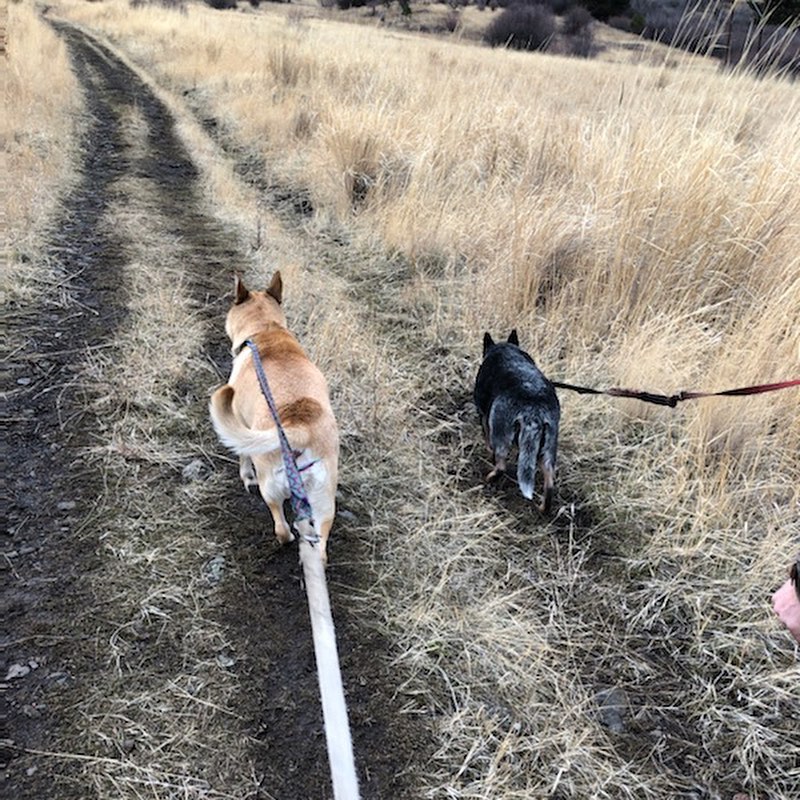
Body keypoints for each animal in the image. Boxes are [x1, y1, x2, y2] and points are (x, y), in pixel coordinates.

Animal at [208, 272, 340, 564]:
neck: (265, 329)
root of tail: (298, 427)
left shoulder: (241, 423)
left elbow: (242, 455)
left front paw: (246, 476)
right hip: (325, 500)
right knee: (321, 542)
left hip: (270, 484)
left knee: (280, 525)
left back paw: (287, 537)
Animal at [476, 332, 564, 512]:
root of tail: (535, 408)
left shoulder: (485, 415)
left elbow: (486, 436)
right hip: (549, 446)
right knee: (549, 482)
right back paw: (543, 508)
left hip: (501, 433)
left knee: (501, 466)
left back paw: (489, 479)